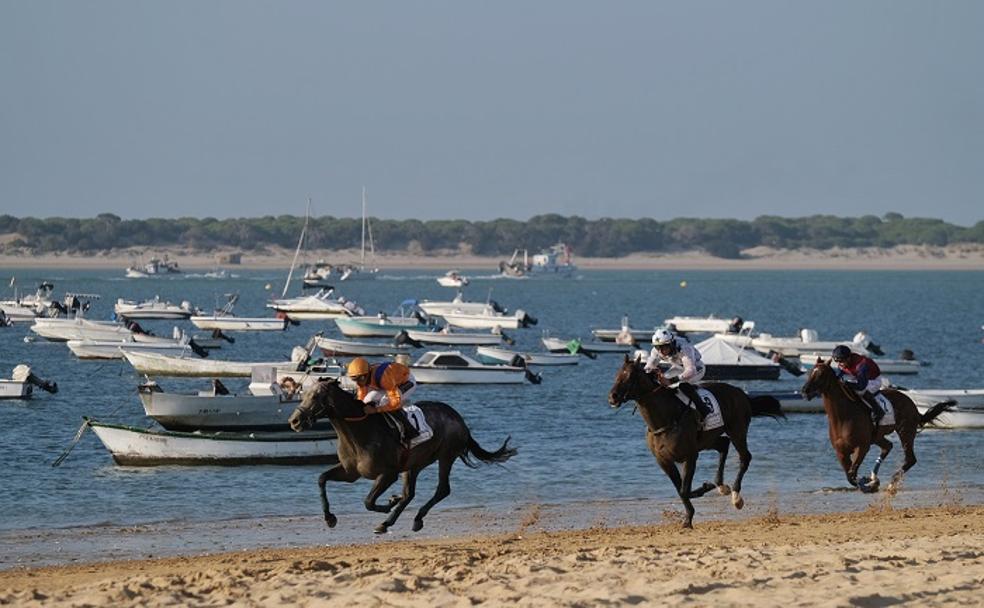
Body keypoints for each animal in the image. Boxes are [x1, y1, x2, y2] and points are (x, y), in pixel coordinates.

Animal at [288, 382, 520, 536]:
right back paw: (390, 520)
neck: (359, 431)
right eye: (304, 394)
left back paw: (411, 518)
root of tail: (458, 418)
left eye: (316, 397)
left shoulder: (388, 474)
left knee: (442, 489)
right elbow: (322, 478)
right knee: (410, 494)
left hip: (446, 455)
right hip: (414, 464)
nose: (294, 421)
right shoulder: (351, 473)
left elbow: (368, 501)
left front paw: (388, 504)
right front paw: (329, 518)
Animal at [608, 356, 784, 528]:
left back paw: (735, 496)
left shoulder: (690, 456)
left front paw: (697, 502)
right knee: (723, 445)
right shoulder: (664, 461)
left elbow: (684, 490)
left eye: (631, 376)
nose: (612, 397)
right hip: (708, 440)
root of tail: (742, 394)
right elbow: (680, 490)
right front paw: (691, 512)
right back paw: (721, 486)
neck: (665, 419)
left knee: (745, 457)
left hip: (737, 430)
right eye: (617, 374)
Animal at [800, 358, 952, 492]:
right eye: (809, 373)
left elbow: (852, 474)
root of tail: (912, 404)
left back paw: (891, 483)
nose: (804, 390)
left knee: (910, 459)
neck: (843, 417)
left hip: (906, 431)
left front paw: (868, 484)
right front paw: (871, 482)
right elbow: (850, 475)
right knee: (888, 447)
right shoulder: (841, 452)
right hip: (878, 436)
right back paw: (875, 478)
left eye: (821, 374)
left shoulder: (862, 447)